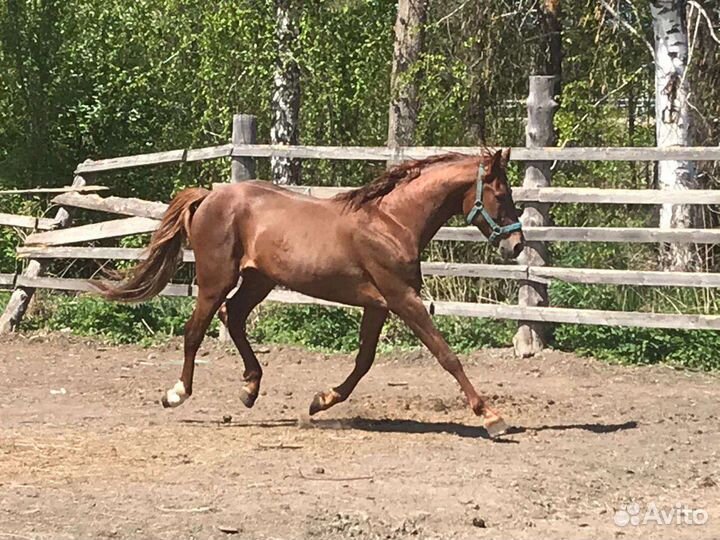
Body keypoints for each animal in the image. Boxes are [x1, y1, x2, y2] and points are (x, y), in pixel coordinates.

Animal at [95, 148, 524, 437]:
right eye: (502, 195)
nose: (516, 245)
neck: (392, 221)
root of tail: (209, 197)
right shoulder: (402, 298)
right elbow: (446, 354)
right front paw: (492, 417)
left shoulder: (378, 305)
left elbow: (364, 360)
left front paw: (320, 402)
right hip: (216, 280)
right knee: (195, 331)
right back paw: (177, 393)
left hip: (258, 280)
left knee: (233, 317)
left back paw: (250, 388)